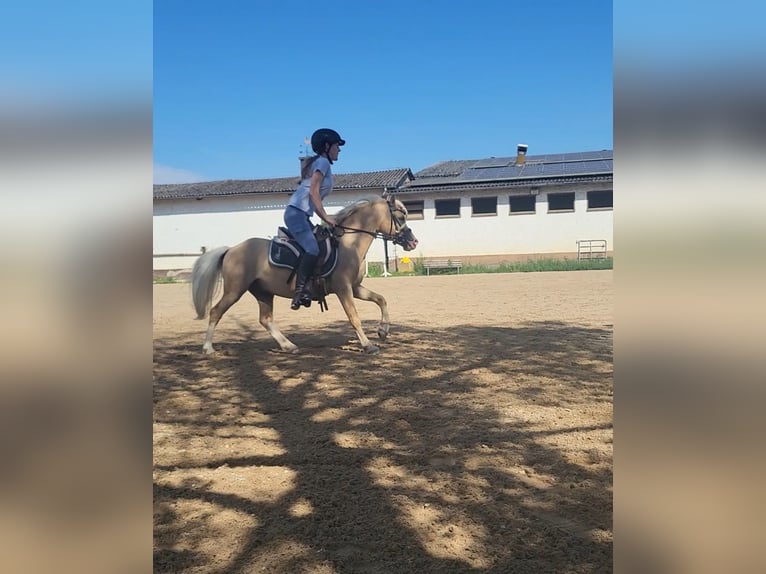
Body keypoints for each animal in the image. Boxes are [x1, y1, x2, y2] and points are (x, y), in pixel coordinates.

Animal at [191, 195, 419, 355]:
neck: (349, 244)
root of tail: (231, 249)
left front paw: (383, 331)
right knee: (215, 312)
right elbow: (354, 317)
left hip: (263, 292)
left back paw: (289, 346)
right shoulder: (343, 288)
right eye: (400, 217)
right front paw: (368, 345)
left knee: (265, 319)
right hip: (235, 290)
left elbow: (381, 299)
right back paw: (208, 348)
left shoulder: (354, 288)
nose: (413, 242)